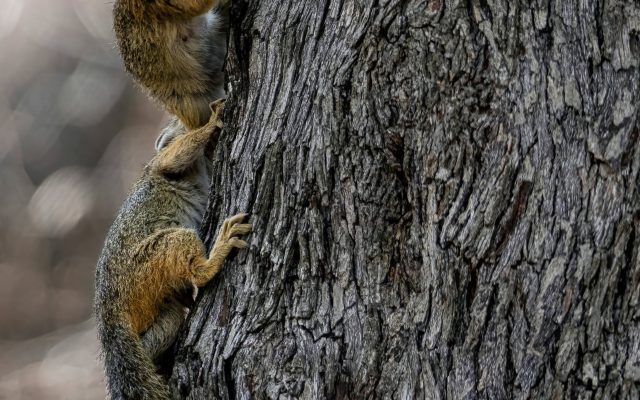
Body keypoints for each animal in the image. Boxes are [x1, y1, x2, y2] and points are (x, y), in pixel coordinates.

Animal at [94, 100, 251, 400]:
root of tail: (109, 312)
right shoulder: (163, 164)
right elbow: (177, 153)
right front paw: (212, 121)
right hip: (153, 257)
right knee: (196, 271)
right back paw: (219, 249)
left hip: (161, 313)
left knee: (161, 331)